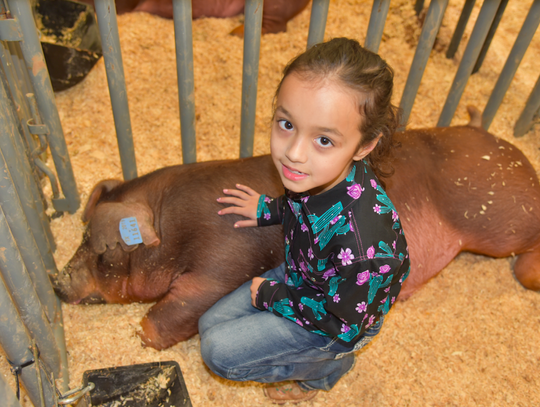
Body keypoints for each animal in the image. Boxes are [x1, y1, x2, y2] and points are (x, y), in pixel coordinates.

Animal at [52, 107, 540, 350]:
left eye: (99, 247)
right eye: (80, 237)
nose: (56, 282)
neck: (171, 225)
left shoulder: (222, 258)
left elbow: (188, 302)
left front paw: (142, 335)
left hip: (497, 216)